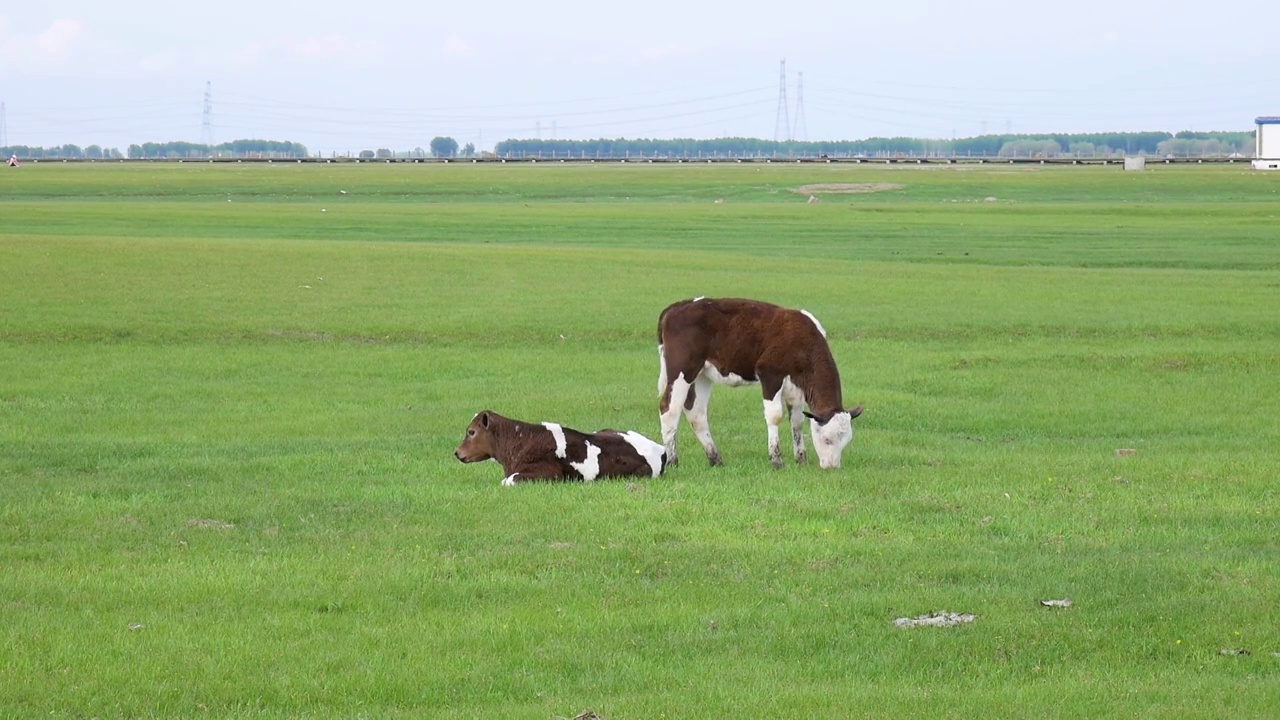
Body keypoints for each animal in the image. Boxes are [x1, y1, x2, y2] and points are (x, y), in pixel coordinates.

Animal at [660, 295, 860, 468]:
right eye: (827, 439)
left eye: (846, 440)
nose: (832, 467)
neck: (801, 340)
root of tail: (679, 306)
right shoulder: (770, 374)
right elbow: (775, 415)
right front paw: (776, 460)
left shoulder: (796, 387)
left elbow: (797, 421)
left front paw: (801, 459)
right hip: (682, 370)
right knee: (669, 409)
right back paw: (671, 461)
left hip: (703, 374)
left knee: (696, 413)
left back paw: (715, 458)